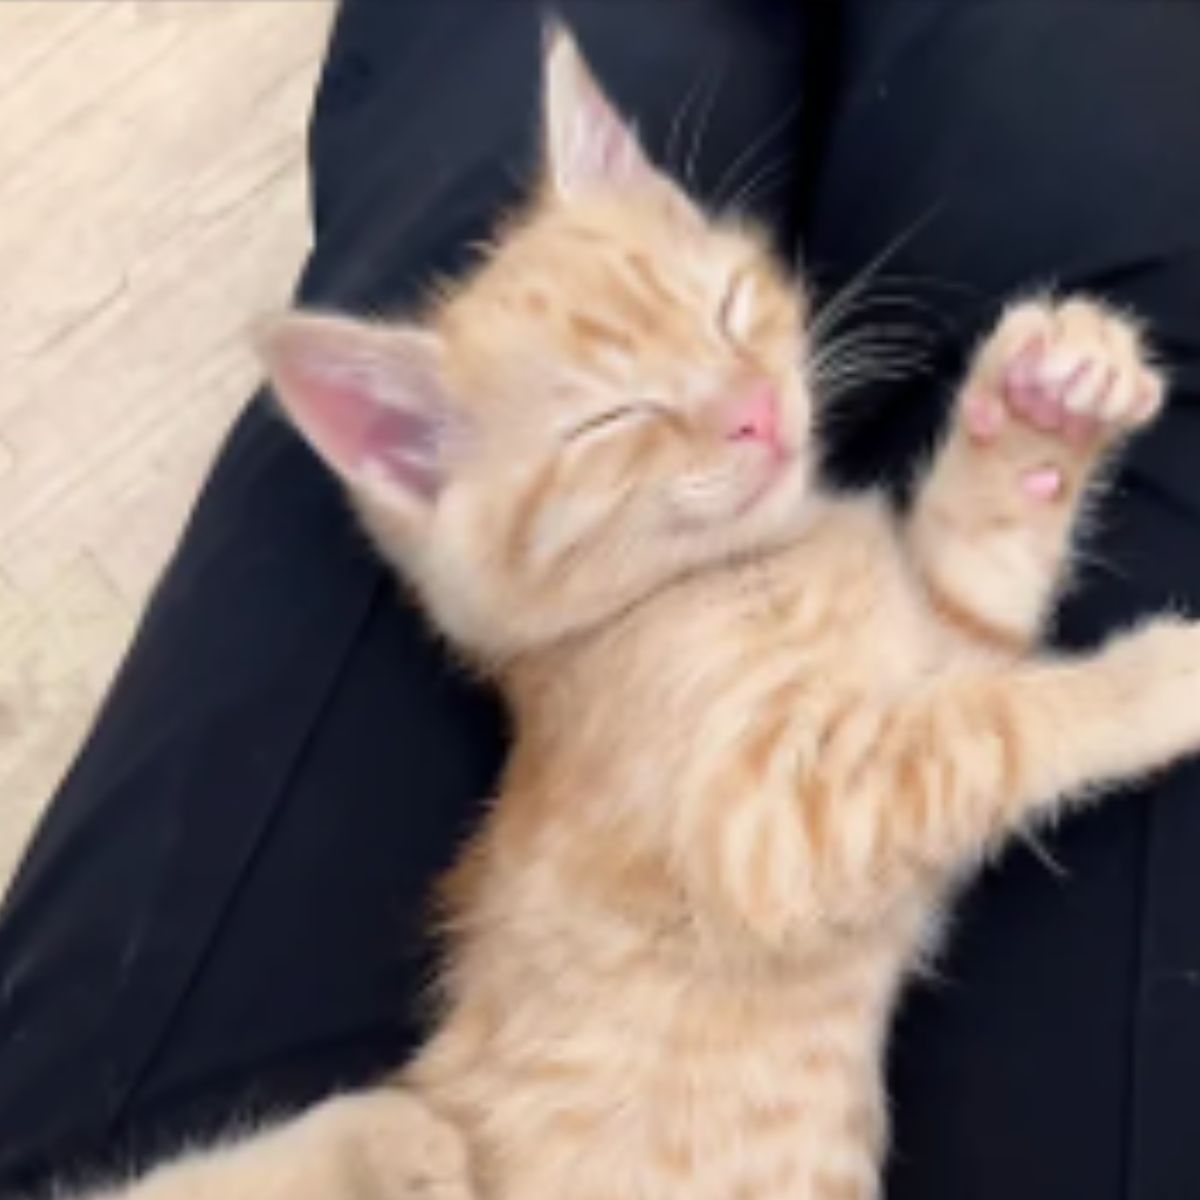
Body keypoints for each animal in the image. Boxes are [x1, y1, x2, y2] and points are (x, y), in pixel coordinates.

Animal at [91, 23, 1200, 1200]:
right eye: (613, 423)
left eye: (725, 309)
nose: (755, 411)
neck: (742, 569)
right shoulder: (769, 822)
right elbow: (990, 729)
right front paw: (1157, 682)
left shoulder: (936, 653)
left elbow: (978, 604)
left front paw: (1045, 406)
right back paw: (397, 1143)